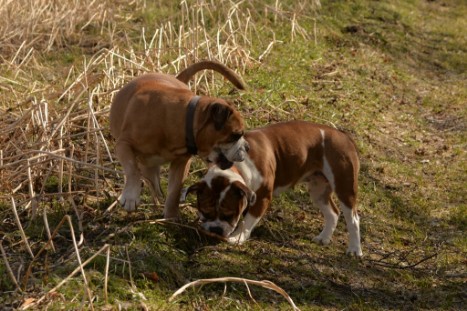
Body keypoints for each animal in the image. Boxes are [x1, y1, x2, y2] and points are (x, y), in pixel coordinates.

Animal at [110, 61, 249, 219]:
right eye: (236, 135)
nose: (247, 147)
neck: (185, 118)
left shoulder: (181, 162)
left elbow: (175, 190)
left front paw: (171, 216)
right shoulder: (123, 144)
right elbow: (132, 168)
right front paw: (130, 197)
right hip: (144, 162)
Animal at [185, 120, 364, 258]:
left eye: (229, 215)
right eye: (205, 212)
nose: (215, 229)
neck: (235, 167)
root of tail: (344, 137)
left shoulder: (262, 198)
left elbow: (247, 221)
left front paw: (238, 238)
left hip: (344, 186)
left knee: (353, 218)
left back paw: (354, 250)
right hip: (318, 189)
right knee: (333, 212)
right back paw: (324, 238)